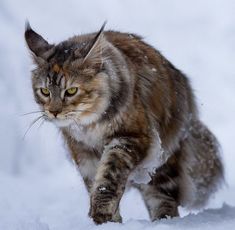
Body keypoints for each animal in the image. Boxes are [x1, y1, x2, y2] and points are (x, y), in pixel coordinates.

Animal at [24, 22, 223, 224]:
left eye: (71, 91)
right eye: (45, 92)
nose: (54, 111)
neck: (90, 126)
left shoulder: (130, 137)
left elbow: (109, 177)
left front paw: (101, 213)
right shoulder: (83, 152)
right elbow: (95, 182)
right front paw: (109, 222)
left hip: (163, 165)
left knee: (163, 199)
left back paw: (164, 221)